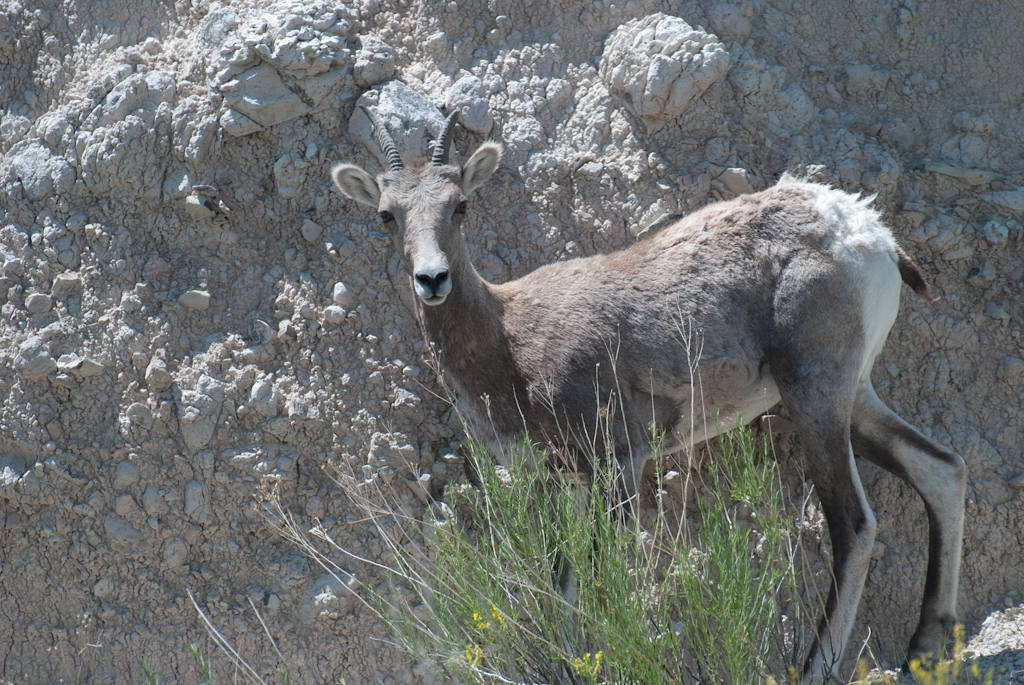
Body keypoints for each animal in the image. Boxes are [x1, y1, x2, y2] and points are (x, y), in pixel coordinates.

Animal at [329, 109, 966, 679]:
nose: (431, 279)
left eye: (459, 205)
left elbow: (596, 576)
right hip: (851, 395)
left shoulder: (620, 461)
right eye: (387, 215)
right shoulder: (562, 478)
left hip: (816, 394)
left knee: (853, 525)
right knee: (941, 469)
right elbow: (564, 582)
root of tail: (862, 229)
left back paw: (819, 669)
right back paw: (926, 652)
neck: (508, 340)